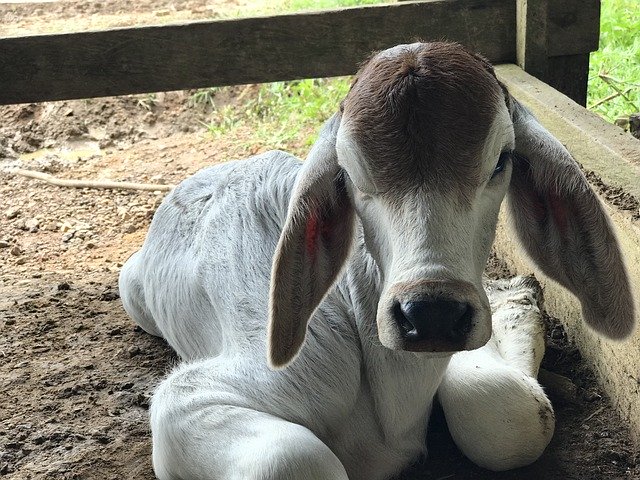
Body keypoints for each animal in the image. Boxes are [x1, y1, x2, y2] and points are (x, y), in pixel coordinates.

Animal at [120, 43, 636, 478]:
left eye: (500, 160)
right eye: (349, 173)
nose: (431, 314)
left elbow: (511, 413)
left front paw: (519, 310)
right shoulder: (193, 399)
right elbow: (293, 459)